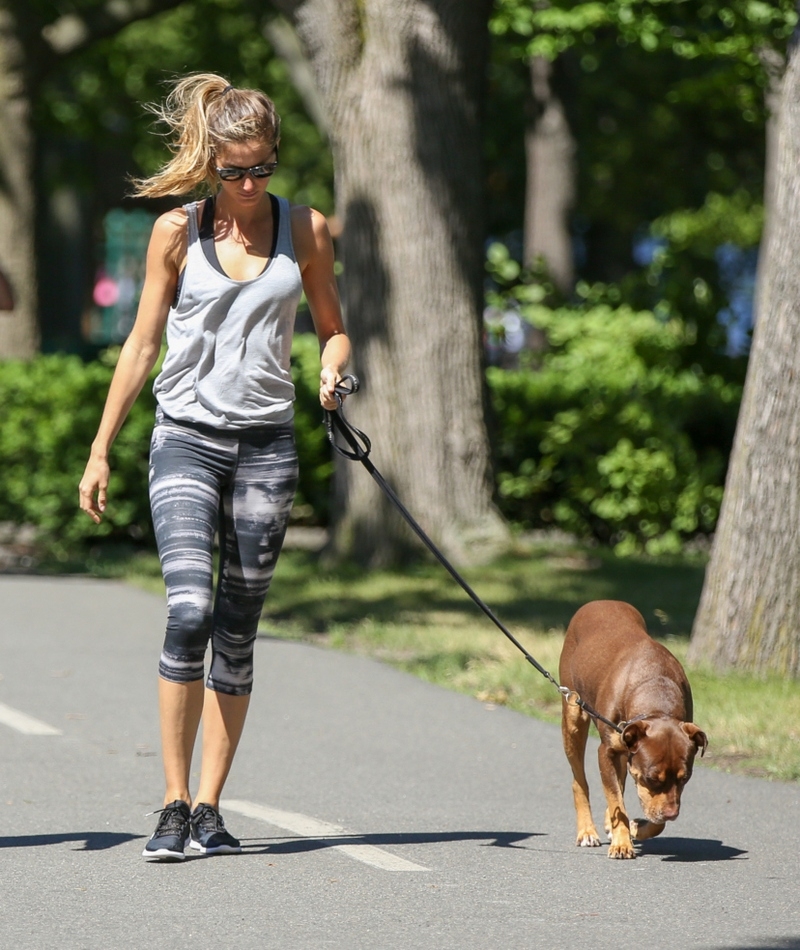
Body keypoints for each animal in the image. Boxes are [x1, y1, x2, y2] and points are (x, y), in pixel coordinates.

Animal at [556, 604, 708, 864]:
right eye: (652, 778)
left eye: (685, 778)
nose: (673, 814)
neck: (656, 697)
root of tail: (599, 601)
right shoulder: (606, 752)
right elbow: (617, 799)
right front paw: (622, 843)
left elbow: (648, 815)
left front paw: (636, 827)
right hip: (573, 714)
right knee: (580, 781)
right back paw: (587, 831)